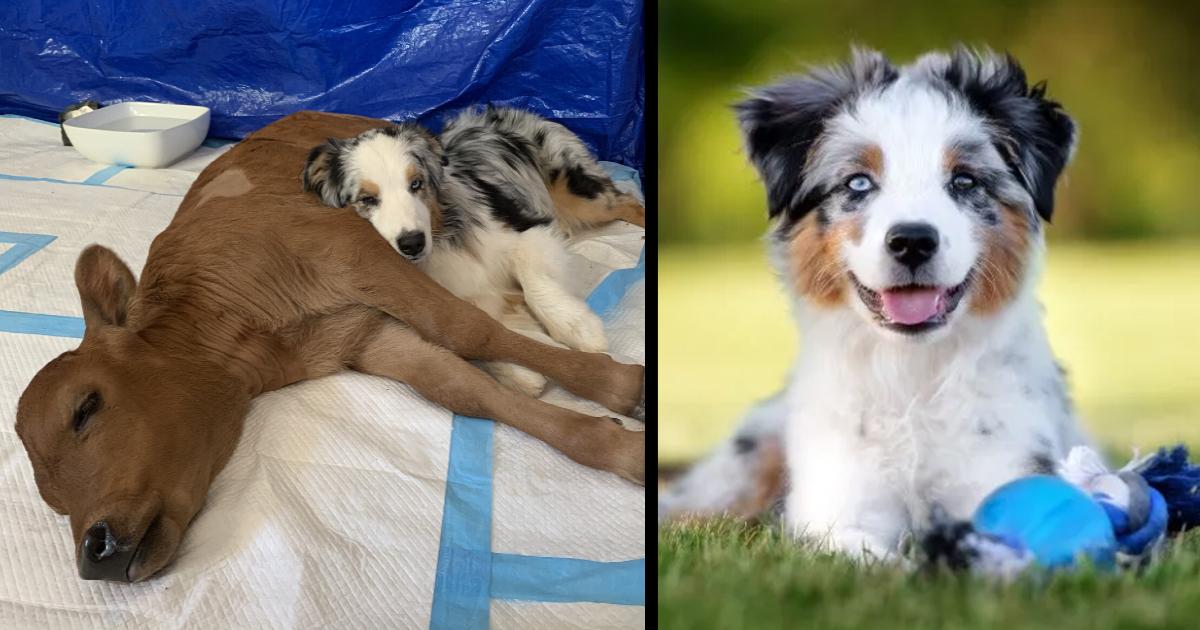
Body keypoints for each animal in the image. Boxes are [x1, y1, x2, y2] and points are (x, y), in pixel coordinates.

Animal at [300, 105, 648, 396]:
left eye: (416, 184)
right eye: (367, 199)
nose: (412, 243)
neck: (442, 235)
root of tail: (505, 111)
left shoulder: (527, 228)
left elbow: (535, 283)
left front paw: (578, 329)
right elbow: (483, 330)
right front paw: (522, 370)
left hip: (576, 190)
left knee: (630, 202)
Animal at [662, 48, 1094, 559]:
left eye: (964, 180)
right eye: (858, 183)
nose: (912, 241)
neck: (911, 375)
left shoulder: (1001, 471)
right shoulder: (835, 512)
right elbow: (870, 559)